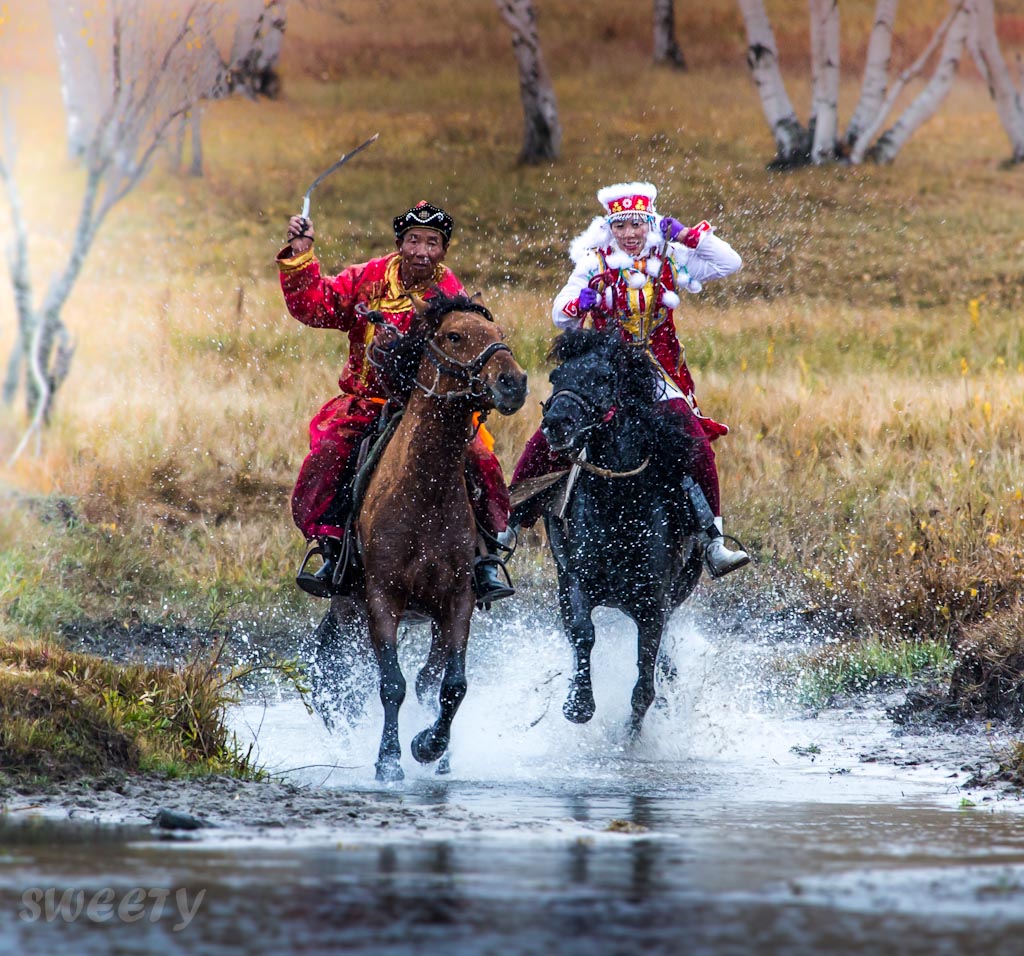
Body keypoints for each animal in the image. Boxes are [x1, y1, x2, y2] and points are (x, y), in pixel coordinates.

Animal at [307, 294, 524, 781]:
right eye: (455, 336)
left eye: (499, 332)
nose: (514, 383)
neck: (423, 492)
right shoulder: (382, 597)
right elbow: (392, 684)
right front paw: (388, 760)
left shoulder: (458, 600)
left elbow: (451, 685)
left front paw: (429, 746)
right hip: (349, 607)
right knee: (343, 672)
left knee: (428, 679)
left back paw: (439, 755)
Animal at [532, 329, 708, 741]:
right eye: (555, 376)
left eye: (602, 378)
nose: (556, 423)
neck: (619, 509)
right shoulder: (575, 581)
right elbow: (583, 633)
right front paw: (578, 704)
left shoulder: (654, 604)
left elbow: (644, 680)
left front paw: (633, 735)